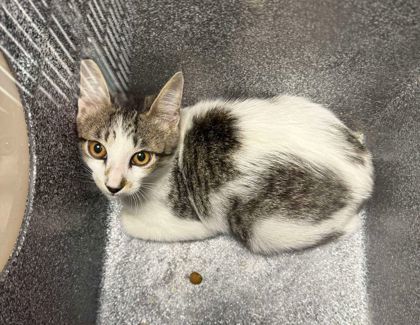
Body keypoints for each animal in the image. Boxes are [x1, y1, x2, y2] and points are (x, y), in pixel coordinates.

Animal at [77, 59, 372, 254]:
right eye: (97, 149)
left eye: (141, 158)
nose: (113, 186)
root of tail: (364, 171)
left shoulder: (194, 221)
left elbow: (130, 223)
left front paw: (126, 214)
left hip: (263, 228)